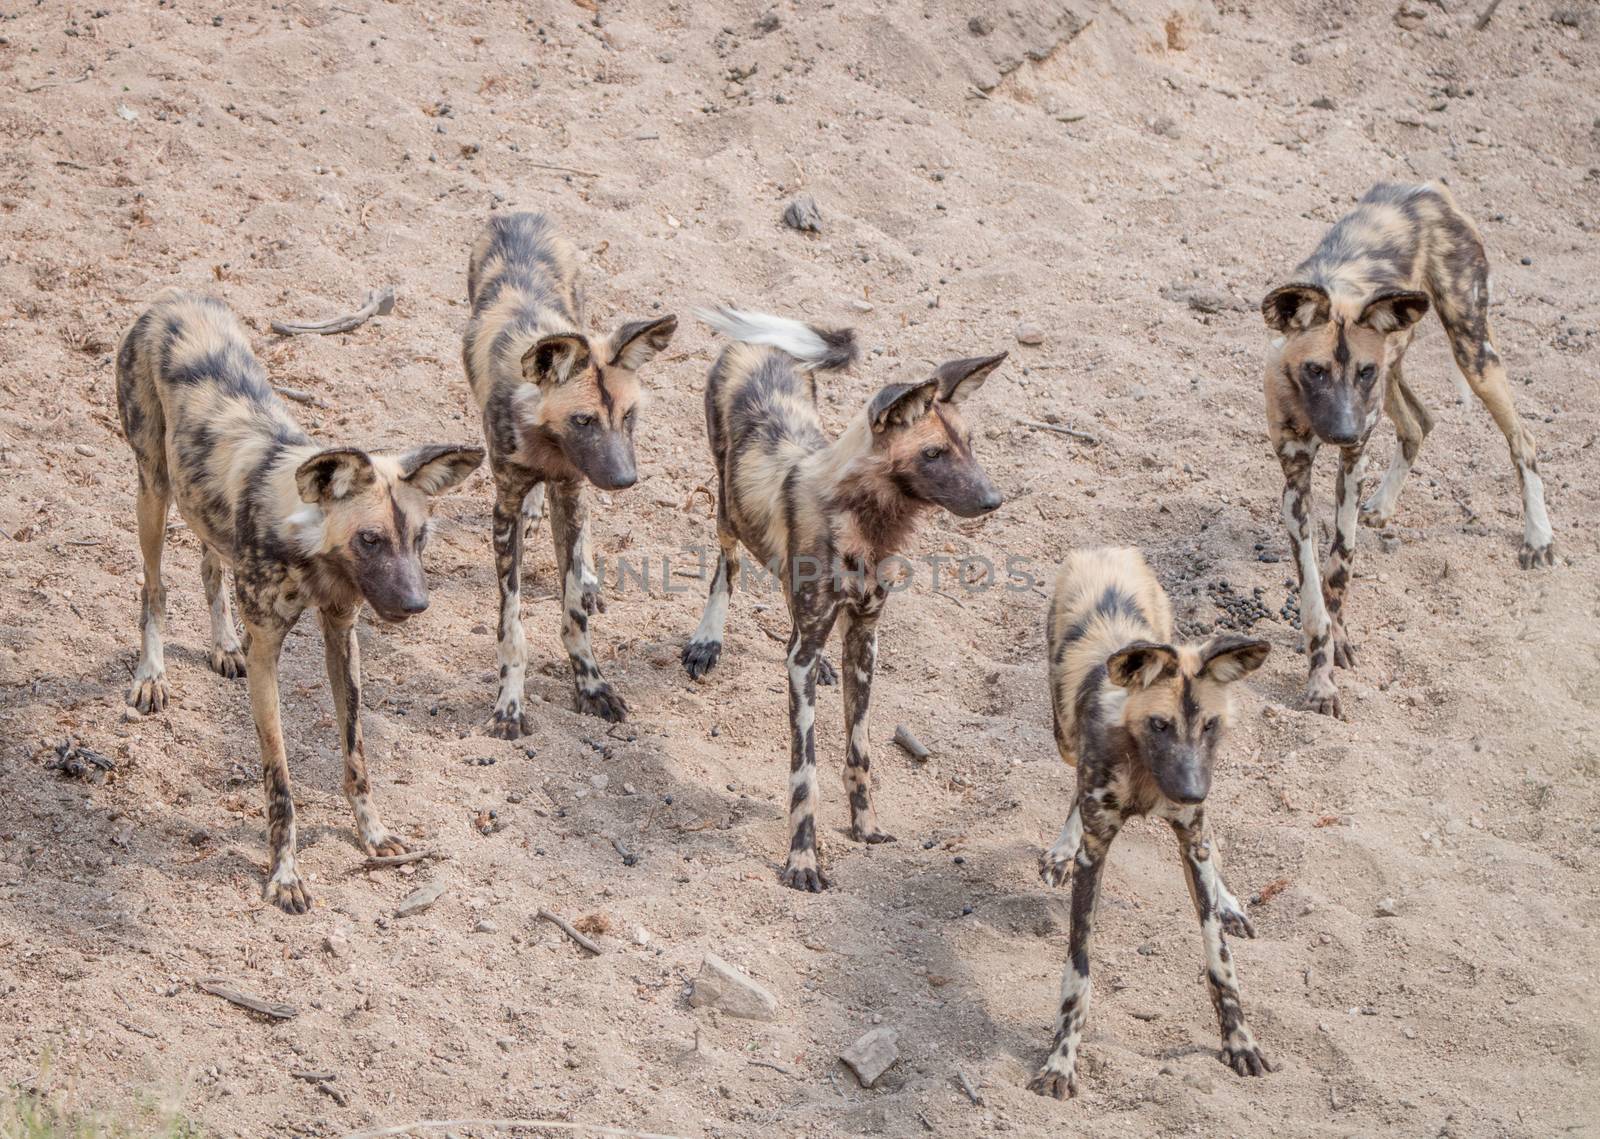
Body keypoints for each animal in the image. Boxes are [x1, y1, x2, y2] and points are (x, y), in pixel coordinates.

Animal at [114, 289, 480, 915]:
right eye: (369, 539)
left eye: (420, 537)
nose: (415, 605)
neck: (312, 555)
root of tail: (174, 298)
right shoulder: (269, 655)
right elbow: (280, 782)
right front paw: (285, 876)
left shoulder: (341, 633)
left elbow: (357, 756)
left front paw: (373, 835)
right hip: (152, 490)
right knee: (154, 587)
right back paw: (152, 675)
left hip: (196, 504)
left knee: (209, 563)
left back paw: (223, 644)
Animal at [684, 307, 1004, 895]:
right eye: (932, 453)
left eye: (969, 443)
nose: (994, 500)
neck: (865, 523)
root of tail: (763, 347)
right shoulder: (808, 660)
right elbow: (804, 774)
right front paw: (803, 861)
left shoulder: (864, 639)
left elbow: (860, 751)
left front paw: (865, 827)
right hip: (725, 506)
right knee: (728, 565)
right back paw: (707, 640)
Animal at [1030, 547, 1267, 1100]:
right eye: (1160, 724)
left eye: (1210, 725)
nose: (1192, 792)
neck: (1144, 769)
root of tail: (1106, 550)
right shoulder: (1096, 853)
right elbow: (1078, 974)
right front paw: (1061, 1064)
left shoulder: (1192, 837)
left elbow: (1220, 961)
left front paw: (1239, 1041)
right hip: (1063, 733)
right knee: (1072, 776)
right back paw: (1061, 849)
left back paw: (1229, 900)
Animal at [1260, 181, 1548, 716]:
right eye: (1315, 371)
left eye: (1361, 371)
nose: (1344, 432)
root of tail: (1430, 190)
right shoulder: (1295, 484)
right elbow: (1312, 594)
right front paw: (1321, 675)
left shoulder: (1352, 462)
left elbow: (1339, 566)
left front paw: (1337, 646)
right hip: (1400, 369)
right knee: (1419, 424)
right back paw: (1384, 506)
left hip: (1470, 352)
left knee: (1523, 439)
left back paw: (1538, 539)